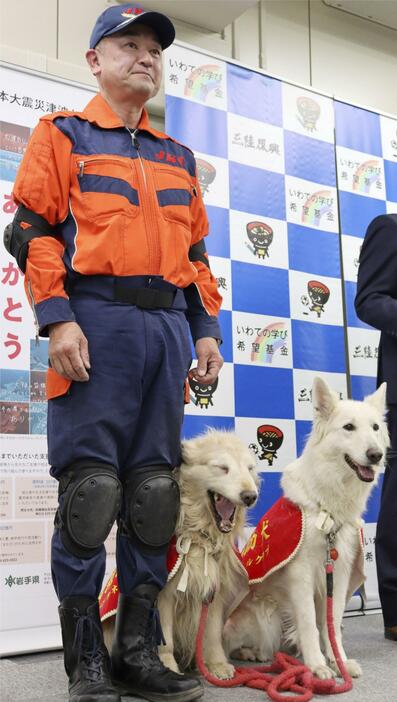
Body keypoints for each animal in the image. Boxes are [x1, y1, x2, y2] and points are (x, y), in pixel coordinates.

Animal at [100, 428, 258, 680]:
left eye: (250, 469)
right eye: (222, 467)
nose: (250, 496)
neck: (199, 537)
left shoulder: (214, 593)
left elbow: (212, 634)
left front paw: (217, 664)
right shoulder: (165, 595)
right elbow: (165, 639)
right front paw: (167, 667)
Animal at [223, 380, 386, 680]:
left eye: (375, 428)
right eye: (348, 427)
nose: (376, 456)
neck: (327, 504)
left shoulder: (339, 573)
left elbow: (331, 623)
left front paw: (338, 661)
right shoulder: (301, 575)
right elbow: (310, 623)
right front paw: (317, 665)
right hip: (263, 615)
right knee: (230, 639)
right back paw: (252, 653)